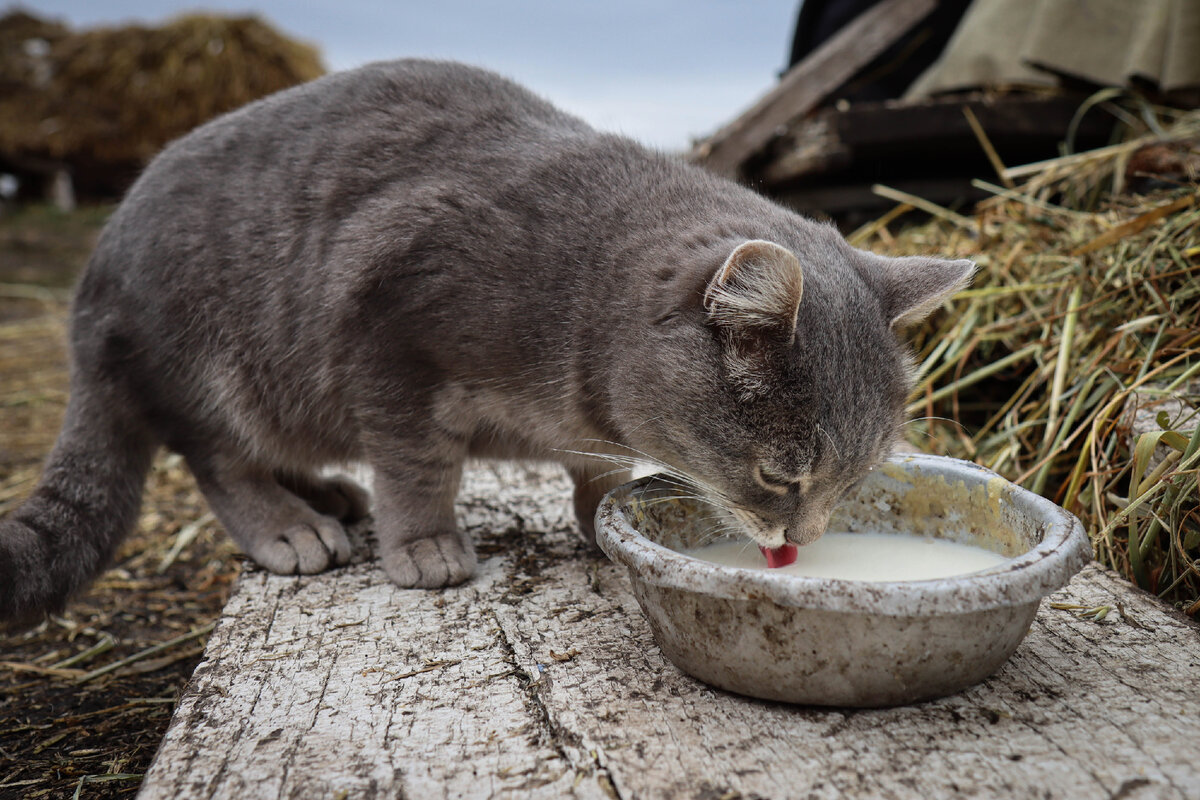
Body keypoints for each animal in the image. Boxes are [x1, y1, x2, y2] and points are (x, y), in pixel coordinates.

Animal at [0, 59, 974, 623]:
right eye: (783, 477)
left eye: (852, 480)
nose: (799, 544)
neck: (580, 287)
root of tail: (89, 290)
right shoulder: (388, 341)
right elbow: (418, 464)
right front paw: (425, 543)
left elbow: (596, 470)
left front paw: (597, 514)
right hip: (210, 366)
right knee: (217, 459)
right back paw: (291, 524)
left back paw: (328, 493)